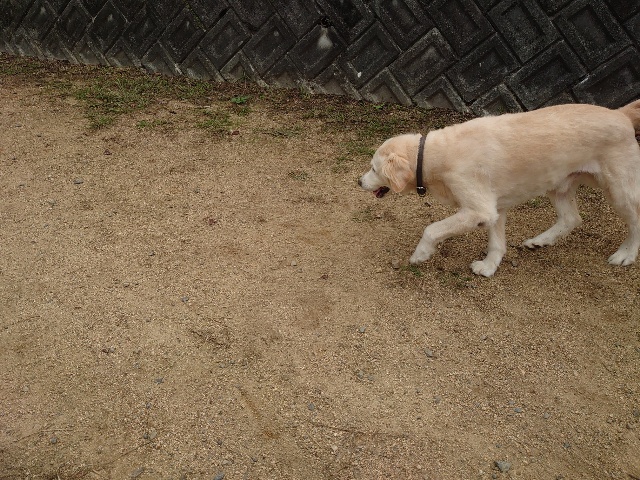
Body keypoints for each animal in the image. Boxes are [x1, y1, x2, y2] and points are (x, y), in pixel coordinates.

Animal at [358, 99, 640, 277]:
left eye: (373, 169)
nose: (359, 181)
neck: (432, 154)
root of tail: (622, 113)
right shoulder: (495, 210)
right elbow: (496, 243)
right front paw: (489, 267)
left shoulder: (478, 210)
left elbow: (431, 229)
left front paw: (420, 254)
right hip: (558, 184)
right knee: (572, 218)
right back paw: (540, 241)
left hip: (619, 190)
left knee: (635, 221)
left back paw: (625, 255)